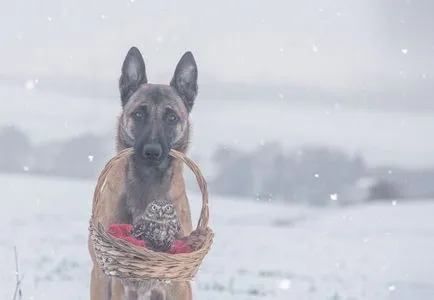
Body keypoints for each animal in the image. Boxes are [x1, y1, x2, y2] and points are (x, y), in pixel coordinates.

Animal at [88, 45, 200, 298]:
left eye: (171, 117)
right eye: (139, 114)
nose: (152, 152)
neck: (148, 181)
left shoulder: (178, 283)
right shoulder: (112, 278)